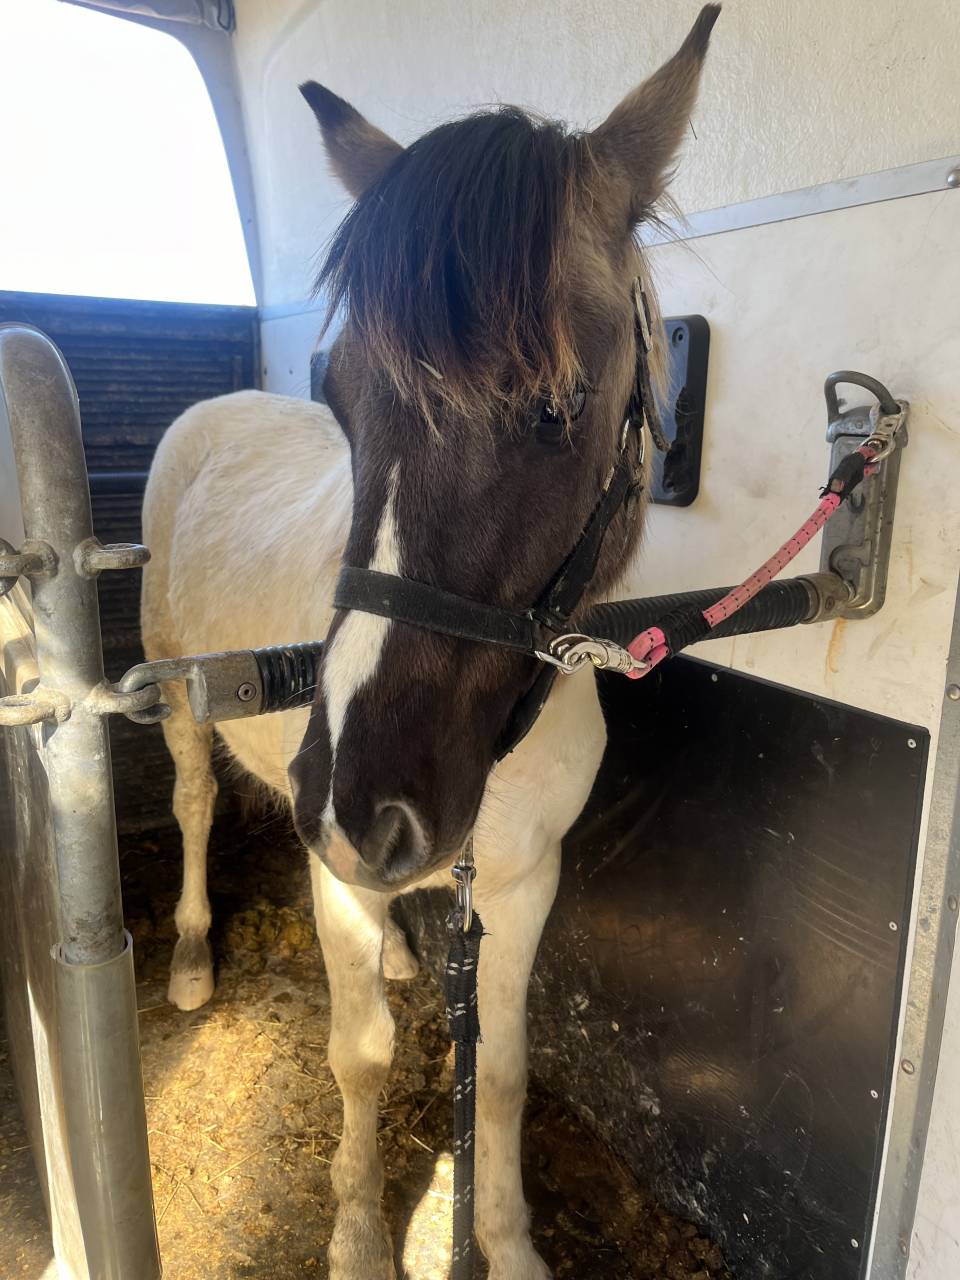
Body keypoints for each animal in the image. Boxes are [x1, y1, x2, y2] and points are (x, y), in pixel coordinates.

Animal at [140, 8, 719, 1277]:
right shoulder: (328, 863)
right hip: (185, 709)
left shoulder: (525, 875)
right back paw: (195, 952)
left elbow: (498, 1071)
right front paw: (359, 1236)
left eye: (557, 406)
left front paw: (505, 1242)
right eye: (341, 394)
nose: (364, 803)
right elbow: (359, 1055)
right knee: (196, 801)